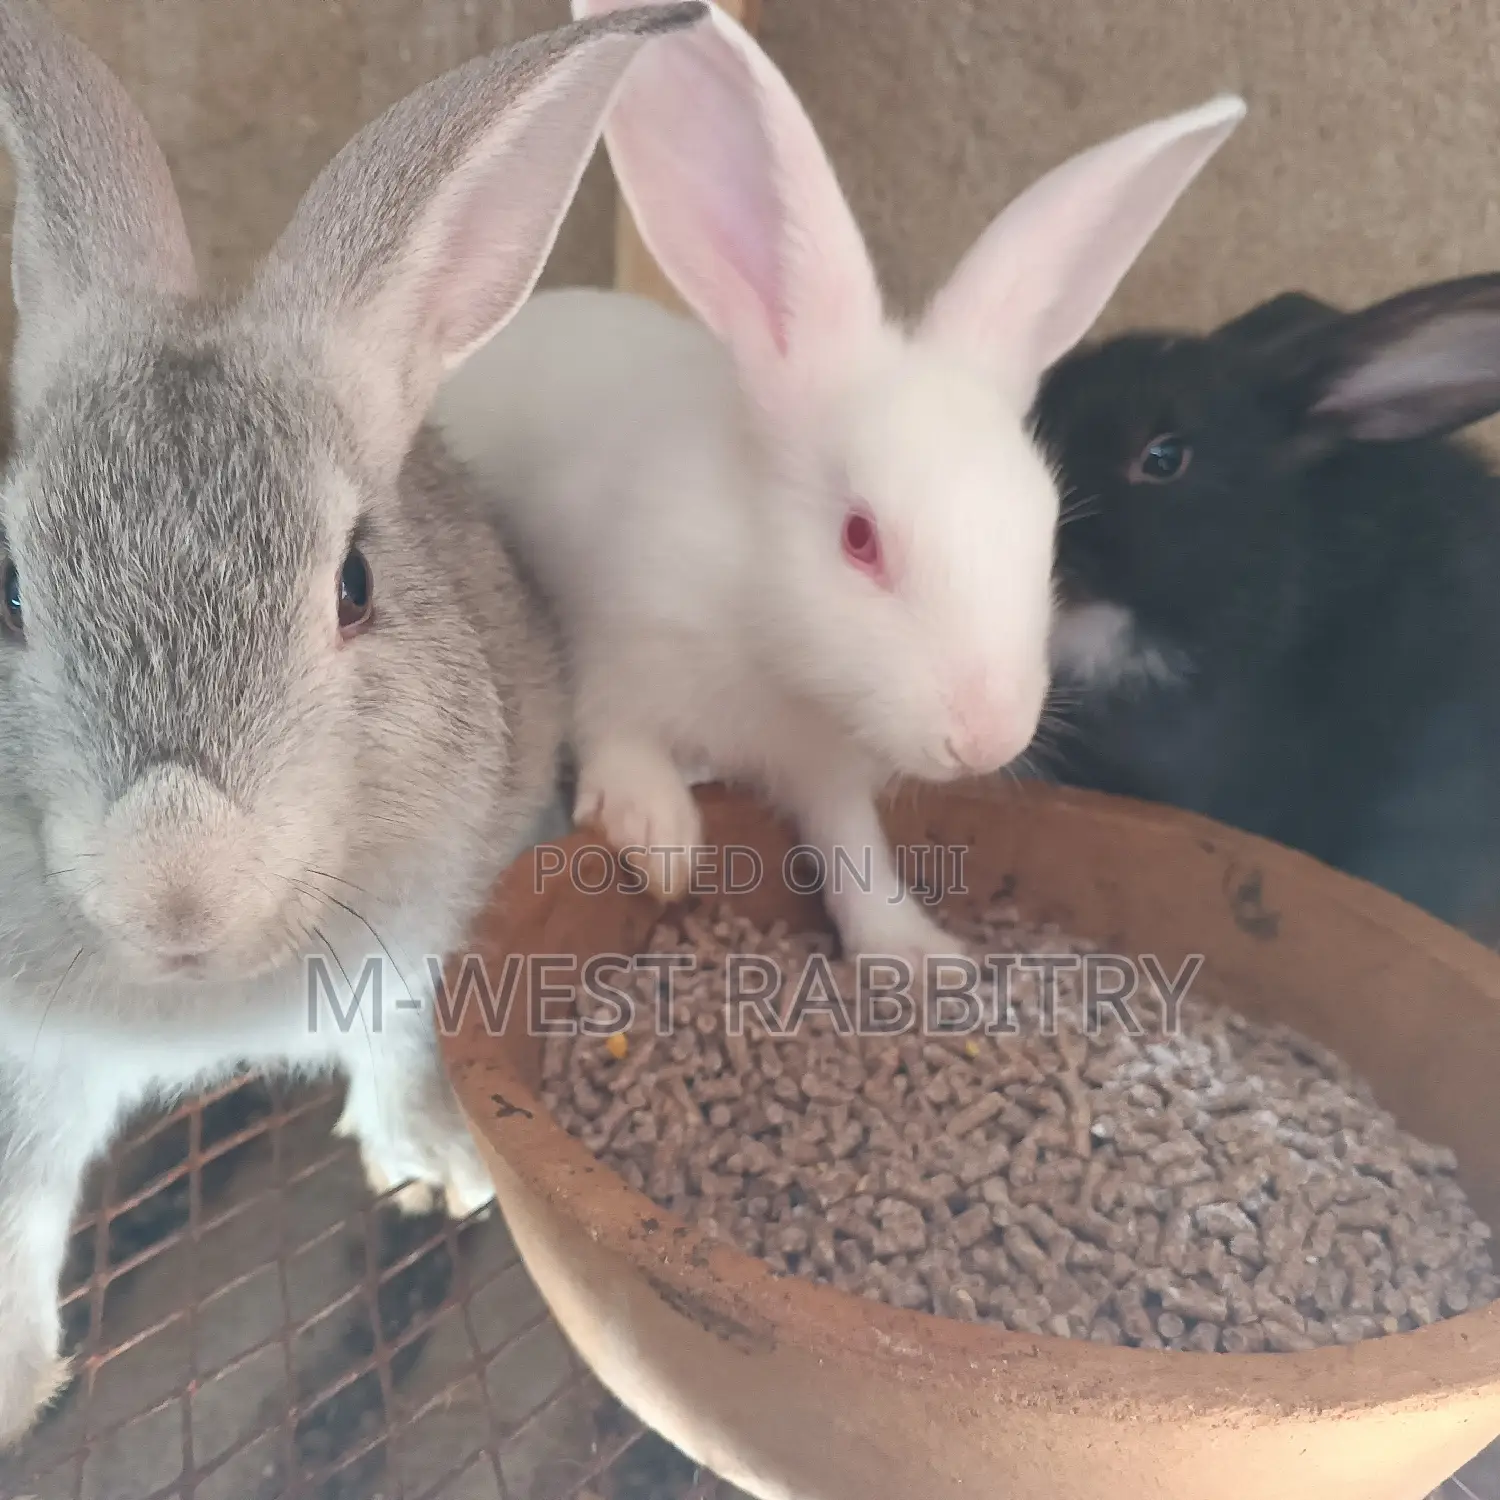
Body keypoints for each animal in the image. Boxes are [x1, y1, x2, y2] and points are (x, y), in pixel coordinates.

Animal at [0, 0, 707, 1449]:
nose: (173, 889)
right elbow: (24, 1195)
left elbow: (396, 1044)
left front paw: (434, 1172)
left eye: (356, 585)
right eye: (8, 592)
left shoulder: (428, 937)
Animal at [429, 0, 1246, 968]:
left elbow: (852, 848)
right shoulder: (613, 653)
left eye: (1045, 534)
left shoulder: (825, 770)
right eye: (860, 539)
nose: (986, 737)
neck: (772, 650)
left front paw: (920, 956)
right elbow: (619, 742)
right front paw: (660, 837)